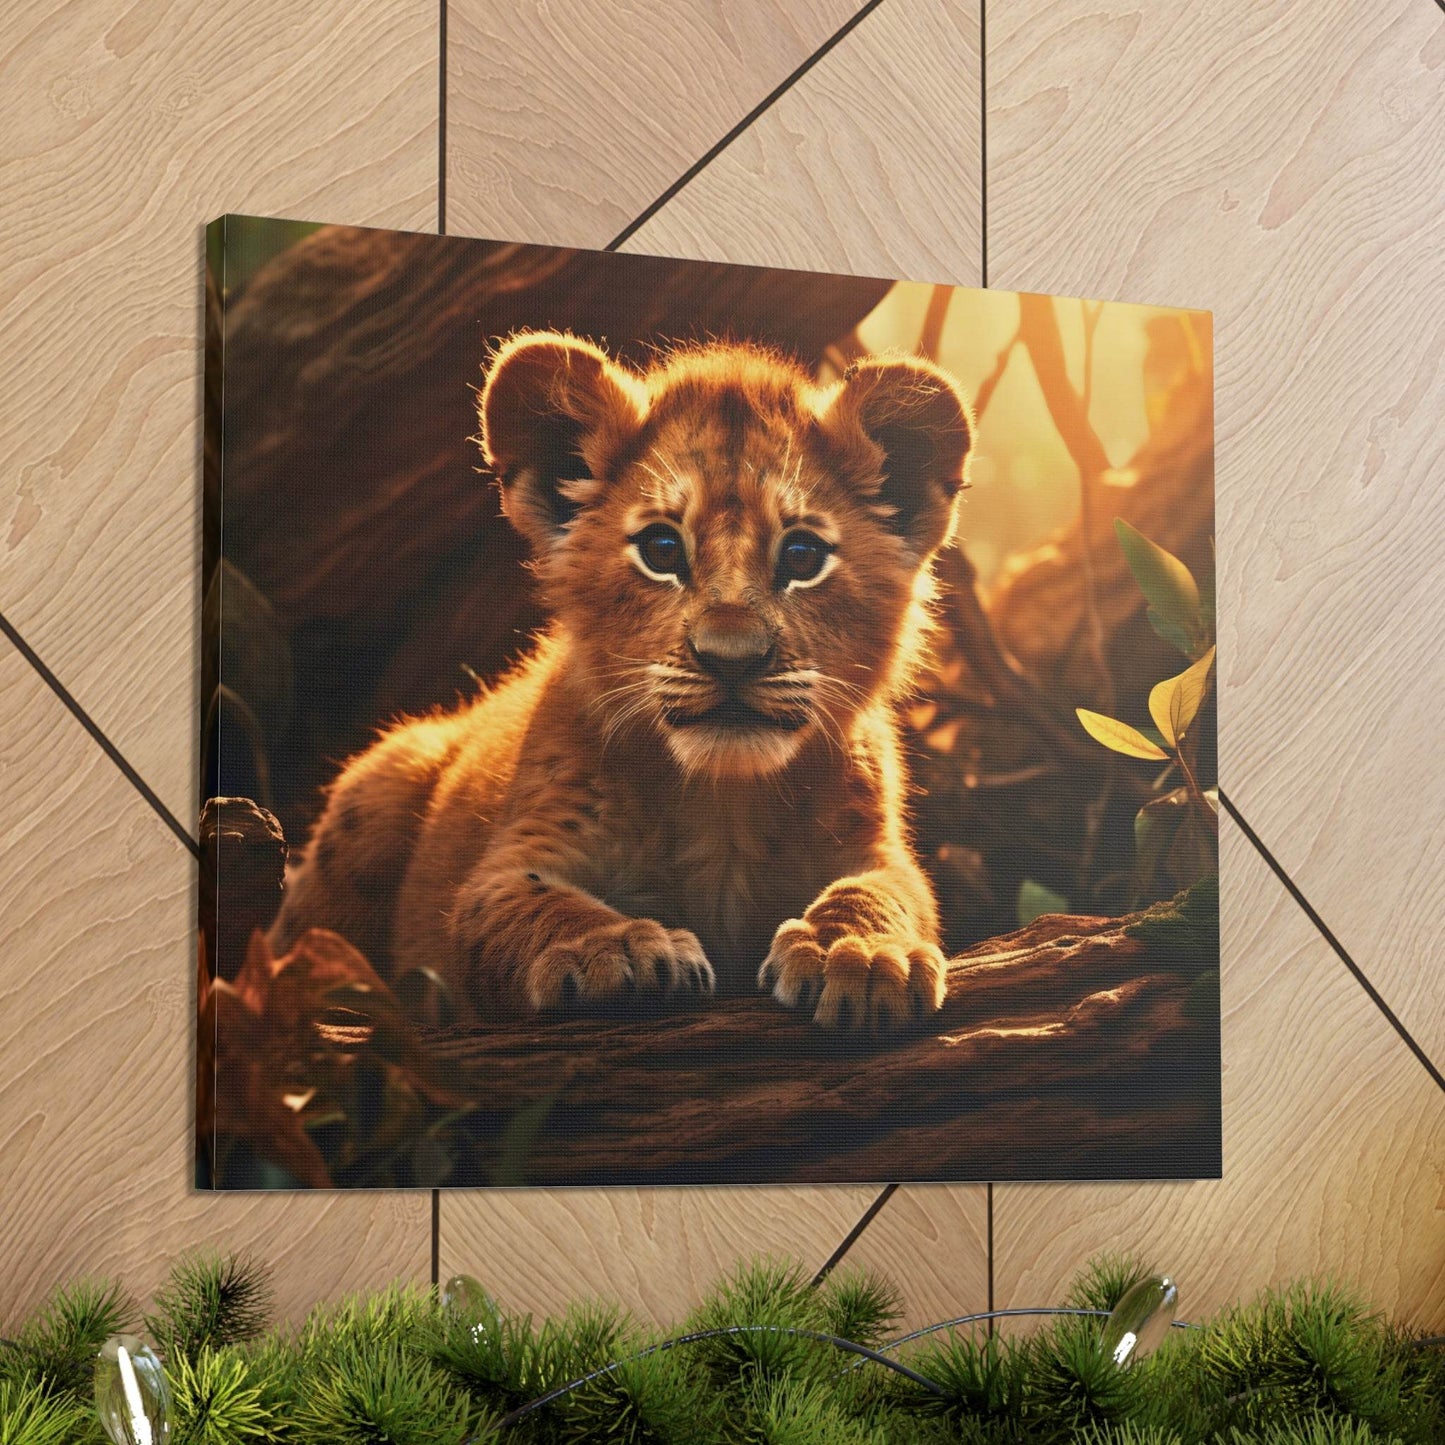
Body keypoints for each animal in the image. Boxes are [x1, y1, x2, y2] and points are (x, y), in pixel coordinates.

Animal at [270, 331, 973, 1034]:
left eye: (802, 557)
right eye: (661, 550)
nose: (732, 658)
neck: (723, 804)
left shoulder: (878, 851)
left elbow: (878, 893)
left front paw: (860, 952)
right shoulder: (510, 862)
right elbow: (537, 905)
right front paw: (616, 948)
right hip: (381, 785)